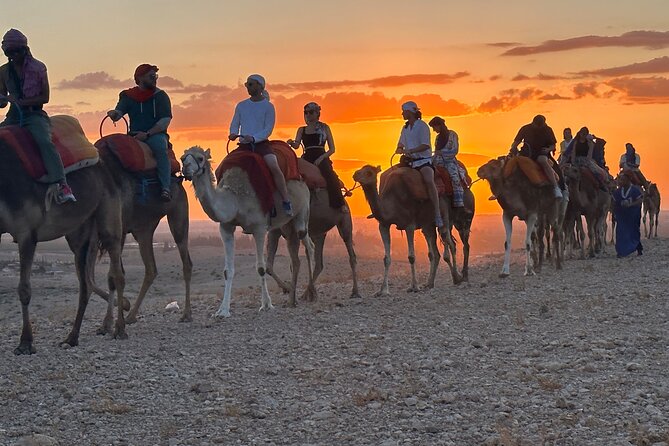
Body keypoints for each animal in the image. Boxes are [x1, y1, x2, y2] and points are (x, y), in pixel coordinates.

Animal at [0, 135, 126, 355]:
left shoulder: (26, 232)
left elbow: (24, 289)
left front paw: (26, 343)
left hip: (109, 211)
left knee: (116, 271)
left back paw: (120, 330)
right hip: (80, 234)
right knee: (85, 284)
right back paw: (72, 338)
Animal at [92, 138, 193, 323]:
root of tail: (179, 180)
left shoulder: (118, 232)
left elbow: (112, 275)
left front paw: (117, 312)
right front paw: (116, 314)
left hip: (178, 212)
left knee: (185, 260)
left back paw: (186, 314)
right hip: (143, 229)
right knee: (151, 268)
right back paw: (131, 315)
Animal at [181, 146, 315, 317]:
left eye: (200, 158)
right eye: (182, 158)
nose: (185, 168)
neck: (235, 200)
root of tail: (301, 180)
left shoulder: (259, 228)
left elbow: (261, 268)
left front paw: (266, 304)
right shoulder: (226, 227)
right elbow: (228, 270)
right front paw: (223, 310)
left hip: (302, 213)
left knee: (308, 244)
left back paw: (311, 292)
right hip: (285, 224)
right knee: (298, 251)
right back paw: (293, 298)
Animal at [352, 165, 461, 297]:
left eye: (369, 173)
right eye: (360, 169)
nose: (355, 175)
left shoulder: (409, 225)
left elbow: (411, 257)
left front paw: (414, 286)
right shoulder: (383, 225)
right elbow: (386, 259)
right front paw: (383, 290)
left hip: (443, 213)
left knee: (449, 241)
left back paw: (457, 277)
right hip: (427, 225)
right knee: (435, 252)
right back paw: (430, 283)